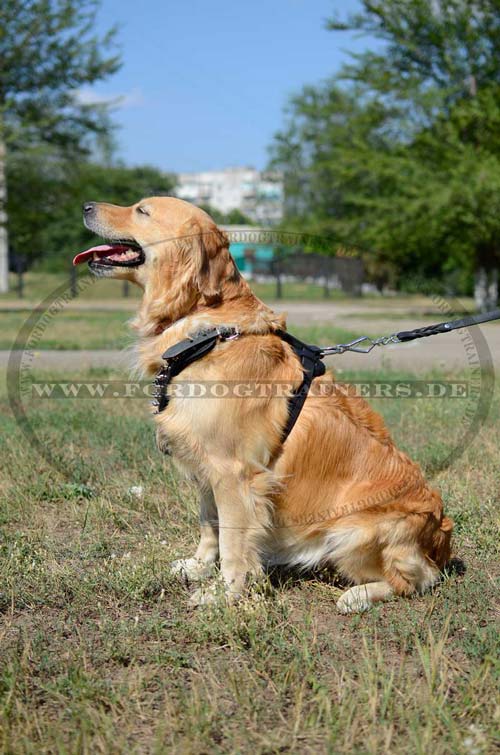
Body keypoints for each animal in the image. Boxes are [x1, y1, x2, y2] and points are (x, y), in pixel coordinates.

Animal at [74, 196, 454, 616]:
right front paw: (198, 566)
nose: (86, 205)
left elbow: (232, 540)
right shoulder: (205, 465)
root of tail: (441, 542)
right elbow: (209, 523)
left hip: (355, 531)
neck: (205, 328)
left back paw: (357, 596)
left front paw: (226, 593)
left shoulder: (234, 472)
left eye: (141, 211)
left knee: (416, 581)